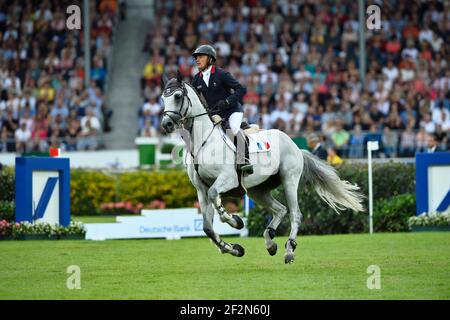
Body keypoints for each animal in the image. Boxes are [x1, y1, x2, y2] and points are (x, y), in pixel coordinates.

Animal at [160, 74, 364, 264]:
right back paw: (270, 241)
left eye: (177, 96)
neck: (203, 142)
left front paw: (234, 220)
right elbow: (207, 228)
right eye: (163, 98)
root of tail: (295, 145)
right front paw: (234, 249)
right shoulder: (201, 189)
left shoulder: (228, 179)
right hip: (257, 191)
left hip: (289, 180)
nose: (166, 124)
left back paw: (289, 250)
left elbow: (215, 196)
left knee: (295, 214)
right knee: (281, 210)